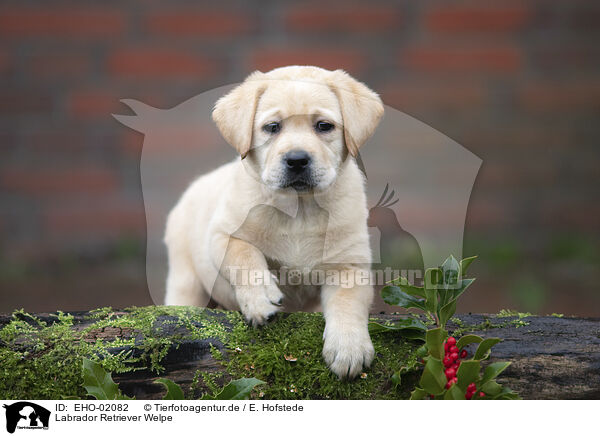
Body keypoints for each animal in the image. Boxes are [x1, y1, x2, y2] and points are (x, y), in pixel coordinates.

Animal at [163, 65, 384, 378]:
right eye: (272, 127)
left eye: (324, 126)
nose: (297, 160)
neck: (299, 210)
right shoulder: (222, 235)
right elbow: (244, 255)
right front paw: (261, 298)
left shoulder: (349, 264)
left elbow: (348, 300)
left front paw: (349, 347)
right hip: (185, 278)